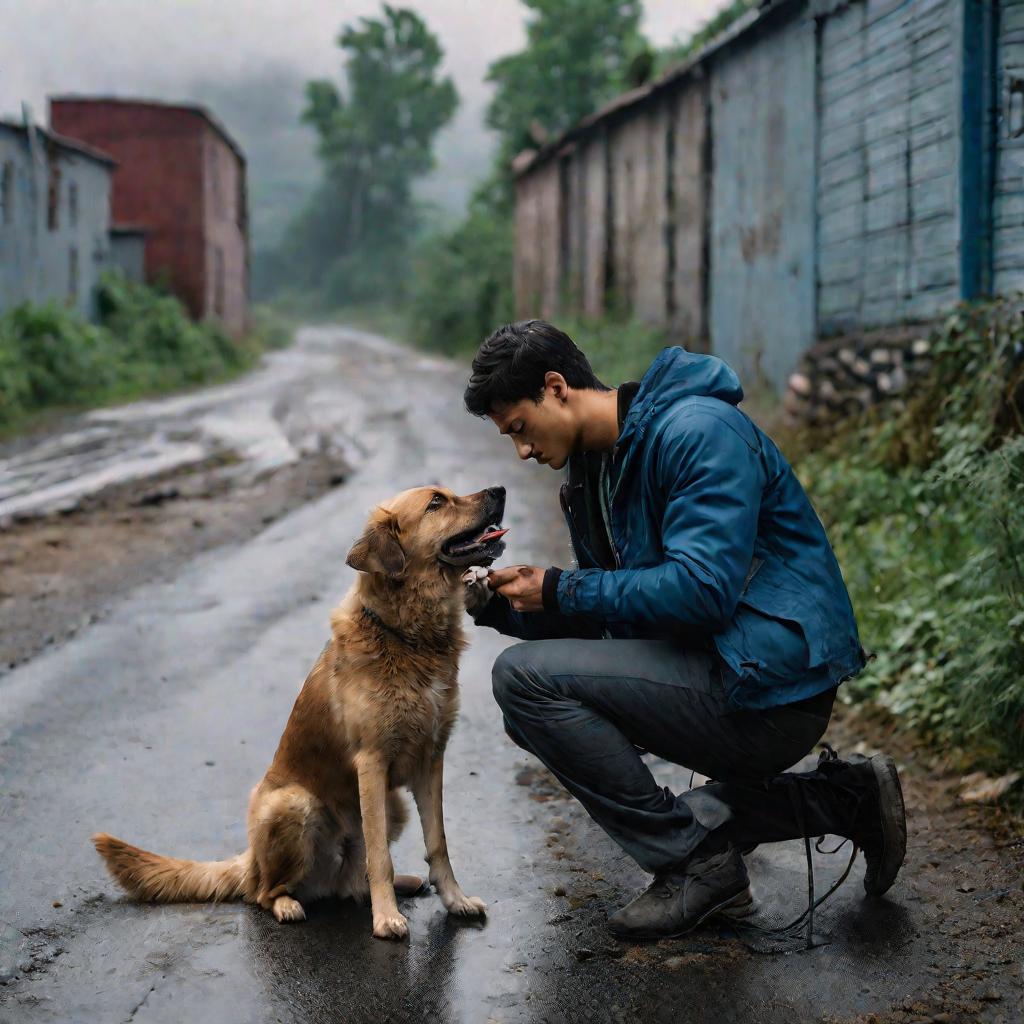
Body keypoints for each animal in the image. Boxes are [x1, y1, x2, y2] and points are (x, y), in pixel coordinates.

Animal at [93, 483, 507, 937]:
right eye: (436, 502)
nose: (499, 490)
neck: (408, 636)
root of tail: (250, 861)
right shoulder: (372, 762)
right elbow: (379, 855)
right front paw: (386, 918)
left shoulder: (431, 759)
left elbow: (438, 843)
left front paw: (455, 900)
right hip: (294, 804)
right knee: (264, 892)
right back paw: (289, 904)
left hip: (392, 802)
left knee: (351, 882)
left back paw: (401, 883)